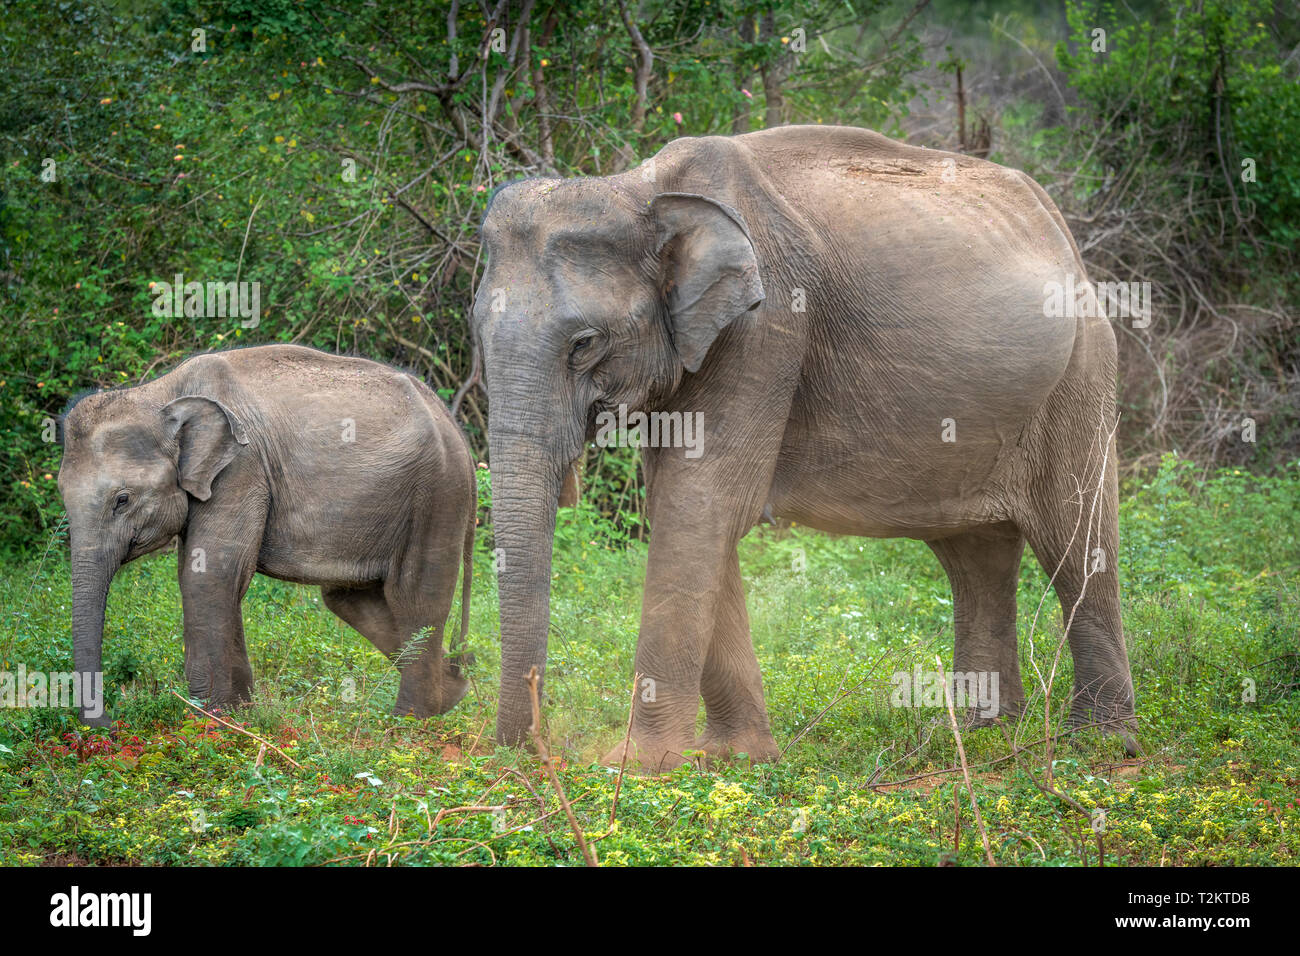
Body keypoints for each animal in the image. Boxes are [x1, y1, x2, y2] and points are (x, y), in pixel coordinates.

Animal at [61, 343, 478, 723]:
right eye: (62, 496)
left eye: (122, 500)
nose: (108, 723)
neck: (159, 393)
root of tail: (452, 422)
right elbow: (211, 574)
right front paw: (240, 714)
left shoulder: (242, 468)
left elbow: (210, 576)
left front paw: (212, 720)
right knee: (350, 600)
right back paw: (452, 691)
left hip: (438, 494)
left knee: (416, 599)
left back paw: (408, 723)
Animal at [475, 125, 1138, 770]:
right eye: (476, 334)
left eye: (584, 343)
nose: (529, 752)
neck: (639, 187)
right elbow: (683, 505)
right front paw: (736, 757)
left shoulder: (766, 325)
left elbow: (704, 503)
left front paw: (635, 767)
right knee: (976, 557)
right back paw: (985, 732)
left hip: (1080, 374)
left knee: (1073, 538)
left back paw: (1100, 744)